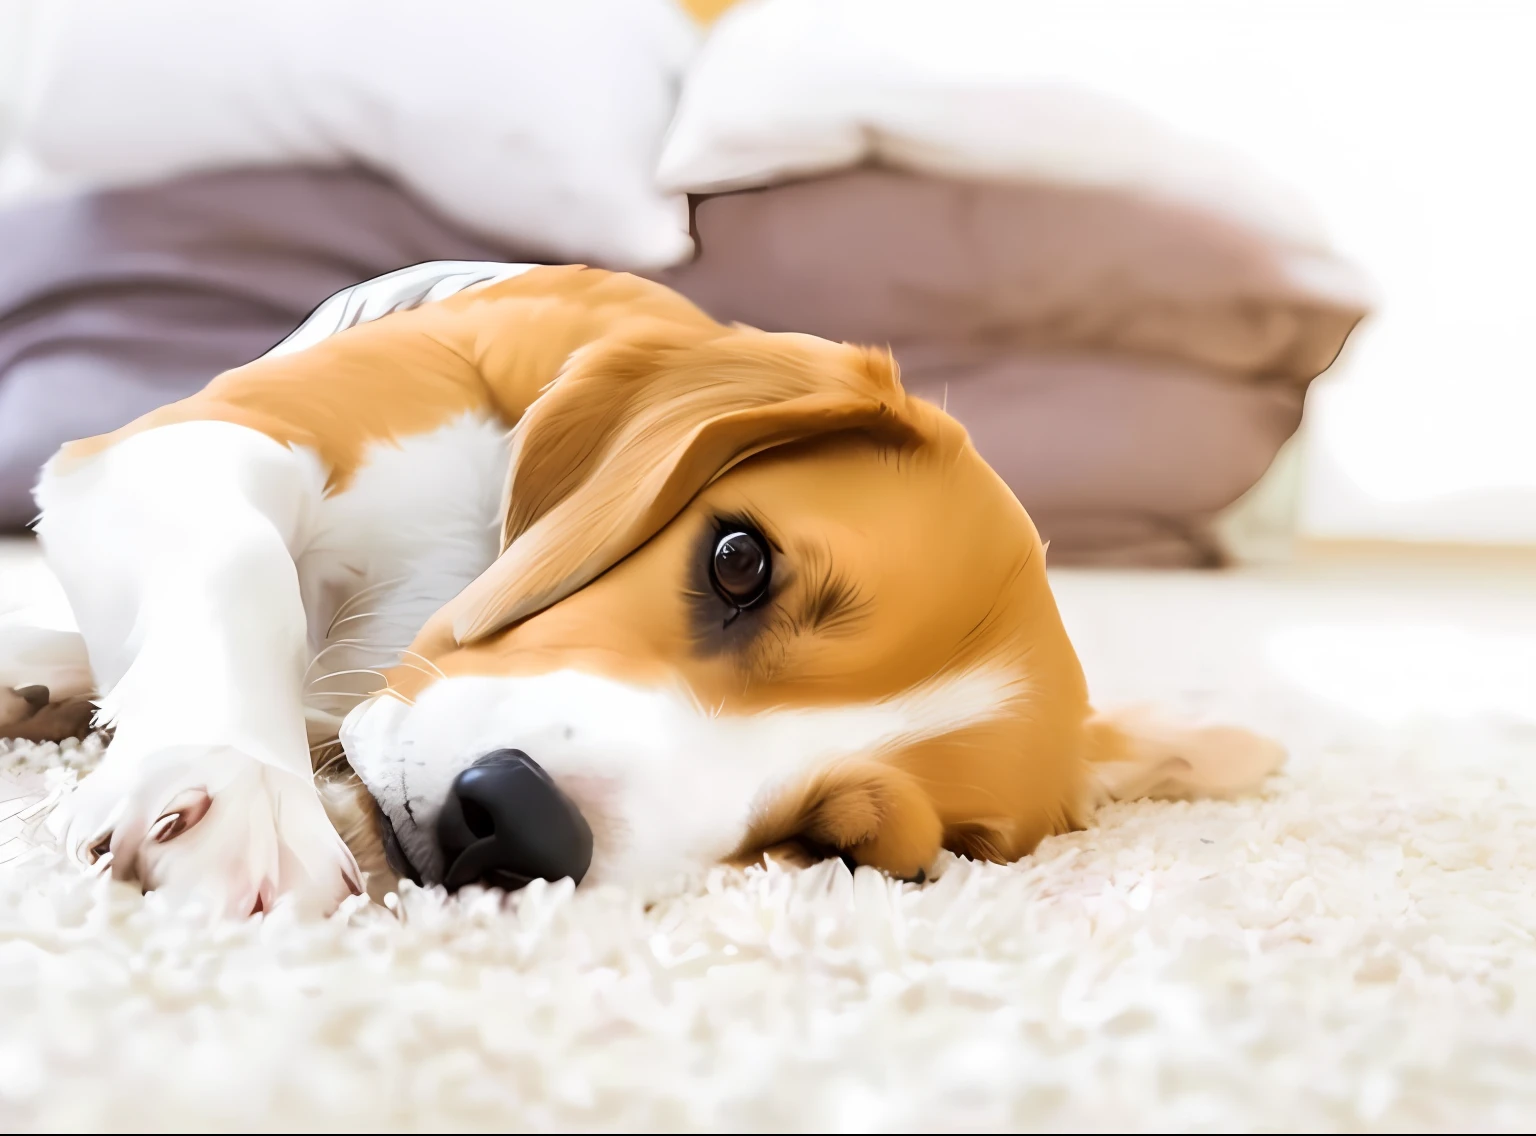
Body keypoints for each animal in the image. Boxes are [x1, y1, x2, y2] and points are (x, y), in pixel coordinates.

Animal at [0, 259, 1284, 914]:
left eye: (846, 849)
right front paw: (233, 788)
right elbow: (242, 562)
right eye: (737, 559)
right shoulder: (189, 441)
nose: (517, 821)